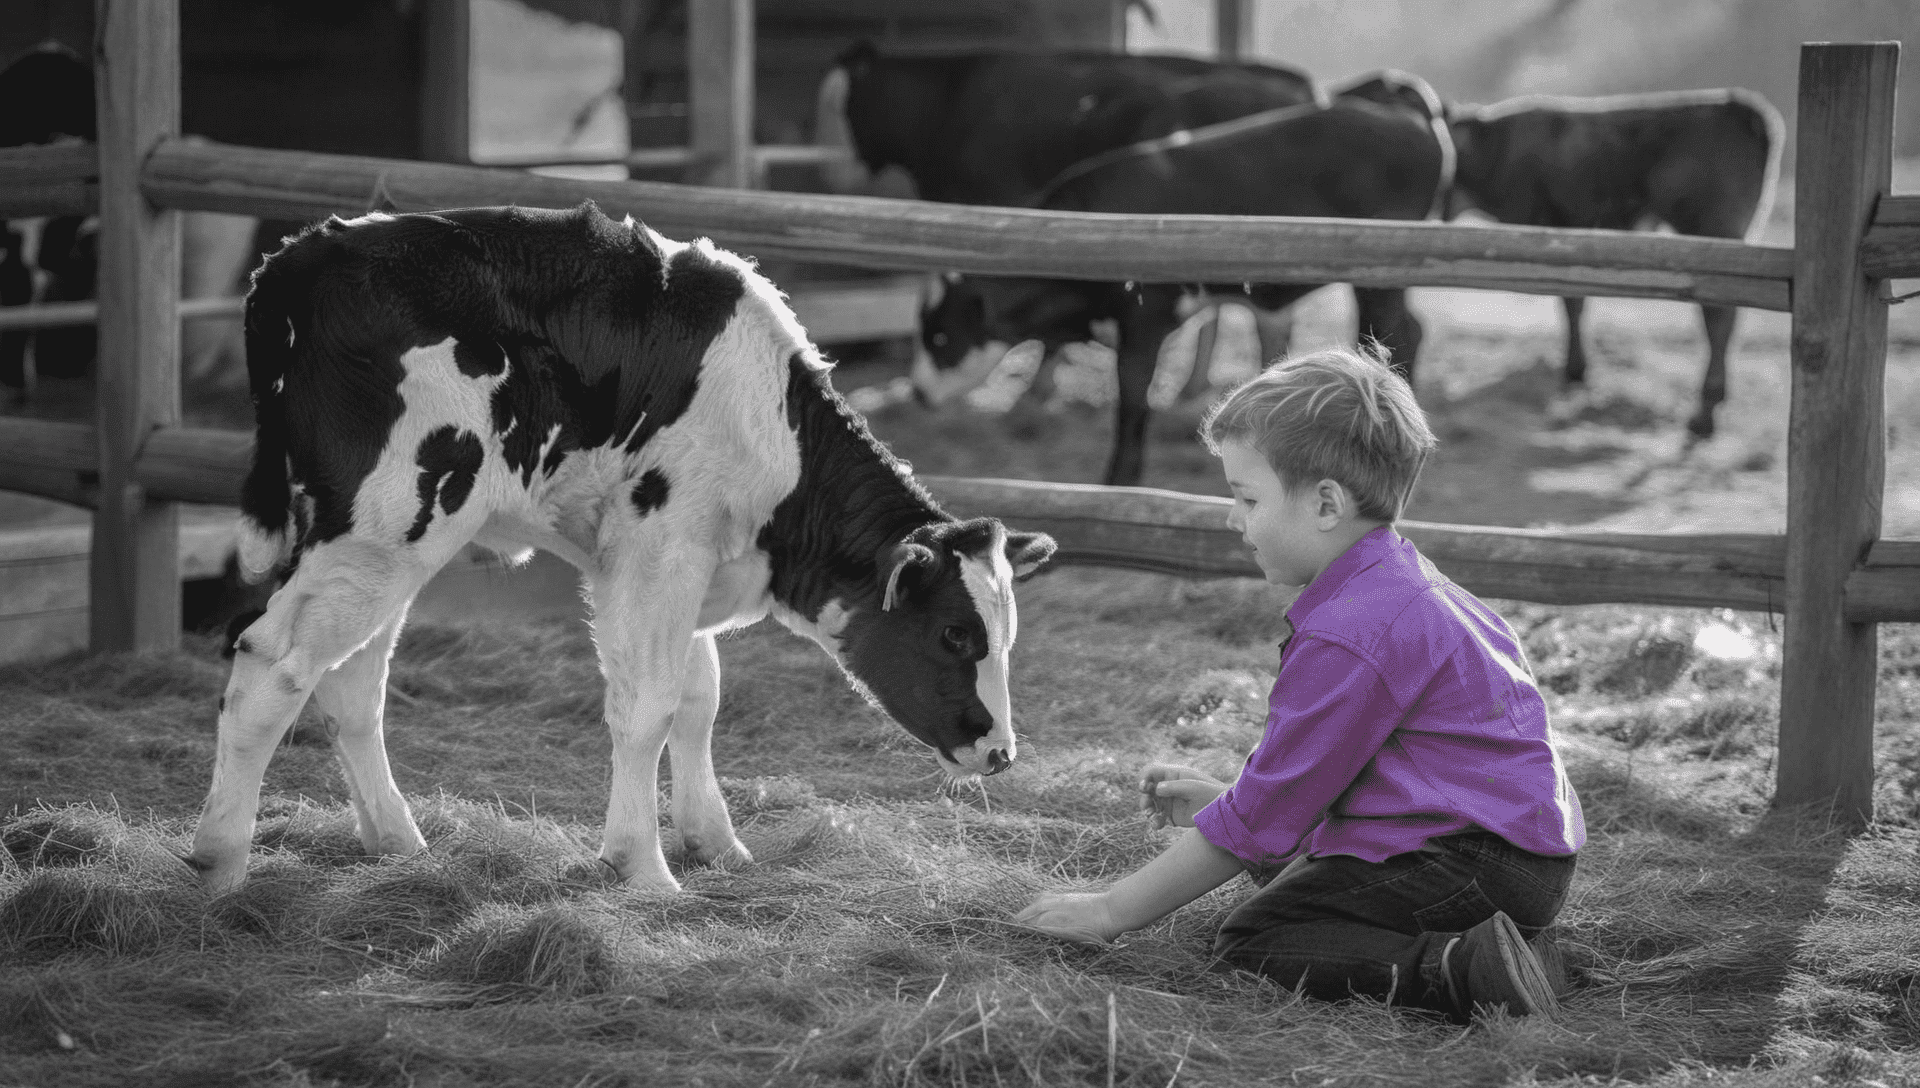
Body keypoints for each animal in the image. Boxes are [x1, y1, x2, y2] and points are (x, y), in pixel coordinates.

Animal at [184, 202, 1057, 895]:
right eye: (955, 634)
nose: (1002, 753)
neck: (775, 432)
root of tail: (307, 250)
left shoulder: (685, 564)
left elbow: (699, 700)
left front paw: (714, 840)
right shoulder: (658, 551)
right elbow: (649, 707)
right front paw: (641, 865)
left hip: (390, 547)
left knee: (349, 682)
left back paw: (397, 840)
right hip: (387, 524)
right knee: (274, 660)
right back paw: (220, 861)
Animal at [916, 73, 1451, 487]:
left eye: (941, 337)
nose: (917, 395)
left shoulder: (1144, 322)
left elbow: (1133, 405)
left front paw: (1119, 482)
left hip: (1380, 279)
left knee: (1396, 336)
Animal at [1444, 88, 1784, 438]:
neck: (1494, 148)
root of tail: (1737, 105)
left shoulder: (1551, 226)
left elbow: (1570, 302)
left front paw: (1575, 368)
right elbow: (1574, 302)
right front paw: (1576, 368)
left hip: (1712, 230)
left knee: (1718, 318)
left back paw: (1704, 413)